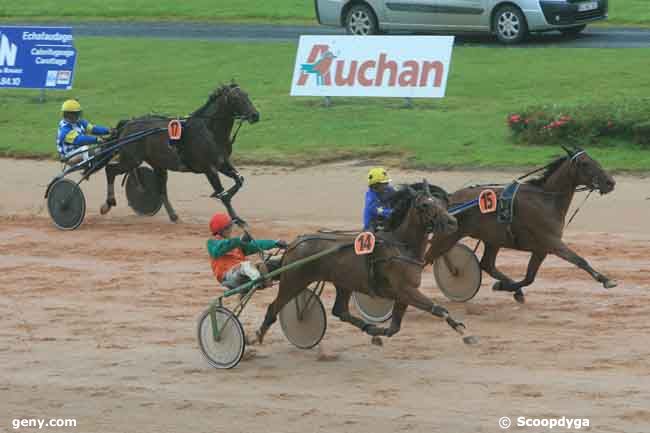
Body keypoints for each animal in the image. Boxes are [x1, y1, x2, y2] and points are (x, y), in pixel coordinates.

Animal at [100, 83, 256, 221]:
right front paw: (236, 218)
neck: (211, 131)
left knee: (161, 189)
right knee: (110, 170)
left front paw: (221, 194)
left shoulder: (222, 163)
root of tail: (128, 123)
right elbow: (223, 194)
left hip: (158, 164)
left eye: (247, 95)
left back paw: (173, 215)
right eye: (236, 98)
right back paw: (108, 204)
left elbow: (239, 180)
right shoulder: (209, 168)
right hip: (132, 160)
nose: (255, 115)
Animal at [254, 182, 476, 344]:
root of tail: (294, 244)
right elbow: (438, 309)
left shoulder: (404, 293)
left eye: (440, 203)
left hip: (343, 283)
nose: (452, 223)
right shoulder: (405, 290)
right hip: (294, 280)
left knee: (340, 311)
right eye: (424, 205)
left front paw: (380, 332)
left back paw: (371, 329)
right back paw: (257, 337)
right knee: (274, 307)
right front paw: (464, 333)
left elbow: (395, 327)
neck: (401, 244)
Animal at [422, 144, 616, 300]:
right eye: (585, 163)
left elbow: (529, 278)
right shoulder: (551, 242)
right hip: (447, 237)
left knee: (487, 264)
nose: (610, 182)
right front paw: (606, 280)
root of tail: (449, 200)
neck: (545, 200)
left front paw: (506, 287)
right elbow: (579, 260)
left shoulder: (541, 249)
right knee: (425, 259)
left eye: (594, 159)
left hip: (493, 239)